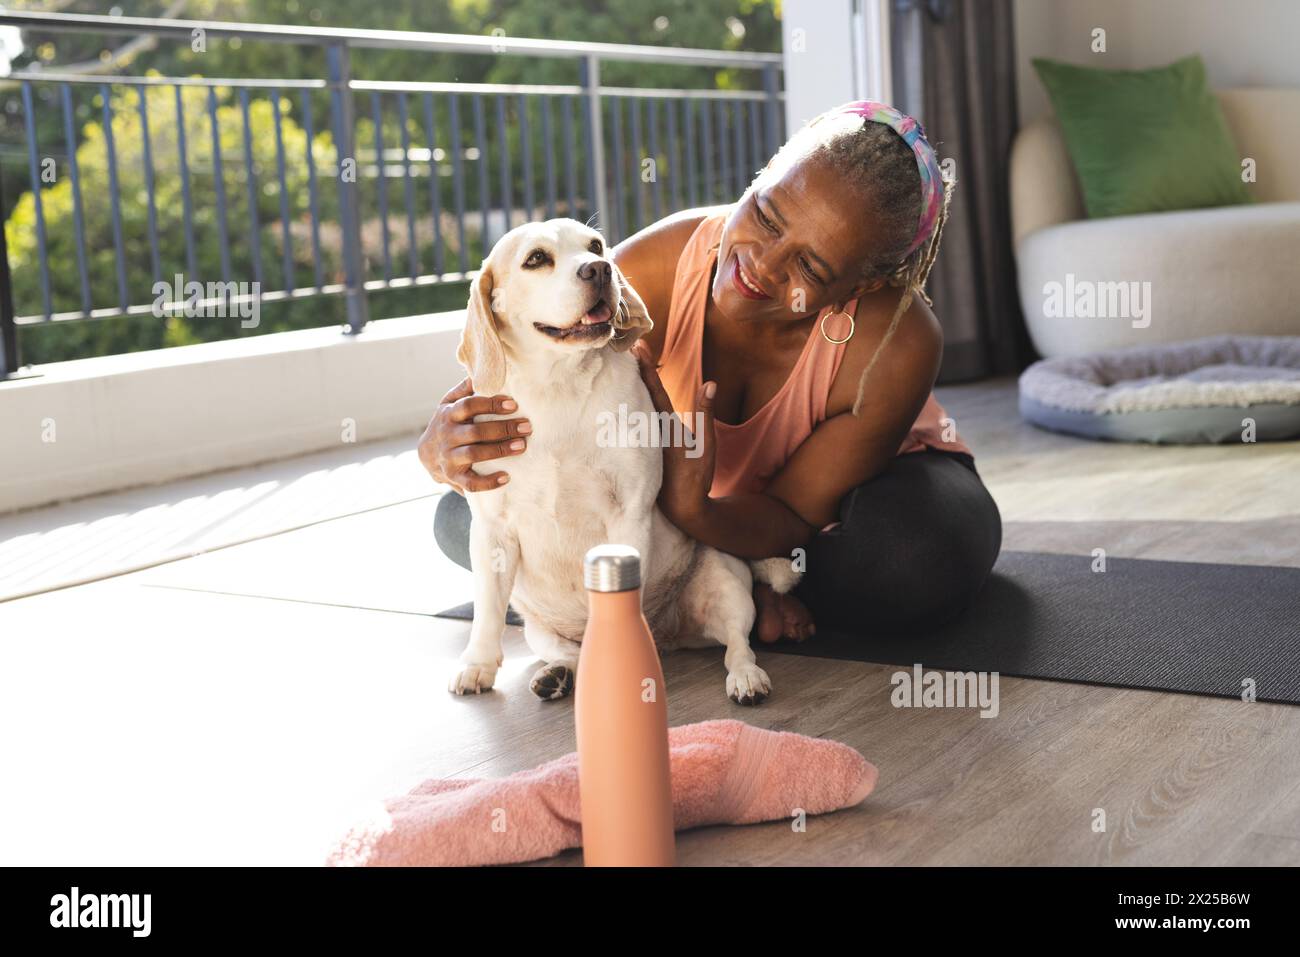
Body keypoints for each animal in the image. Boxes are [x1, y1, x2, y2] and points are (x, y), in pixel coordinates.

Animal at [452, 221, 795, 707]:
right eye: (536, 259)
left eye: (595, 246)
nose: (599, 269)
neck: (557, 388)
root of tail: (668, 637)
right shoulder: (492, 530)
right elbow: (486, 610)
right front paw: (477, 664)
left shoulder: (628, 512)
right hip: (540, 629)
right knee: (570, 654)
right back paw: (558, 674)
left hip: (726, 583)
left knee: (737, 645)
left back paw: (746, 678)